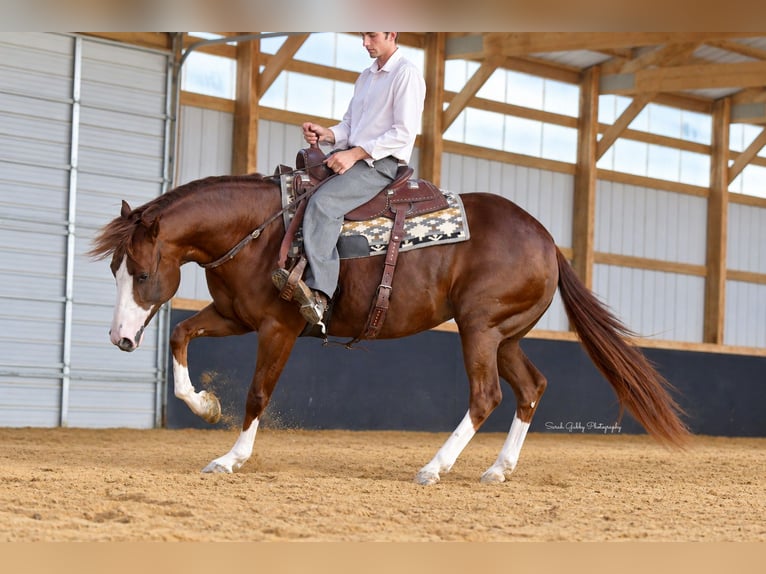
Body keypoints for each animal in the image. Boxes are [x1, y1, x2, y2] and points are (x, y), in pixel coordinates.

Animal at [89, 172, 690, 485]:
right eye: (115, 270)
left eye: (141, 273)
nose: (120, 339)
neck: (261, 232)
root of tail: (546, 242)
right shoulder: (235, 316)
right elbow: (180, 336)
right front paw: (205, 405)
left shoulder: (278, 328)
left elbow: (259, 393)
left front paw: (229, 458)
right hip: (505, 336)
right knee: (531, 388)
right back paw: (498, 469)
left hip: (479, 329)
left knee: (486, 395)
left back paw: (434, 467)